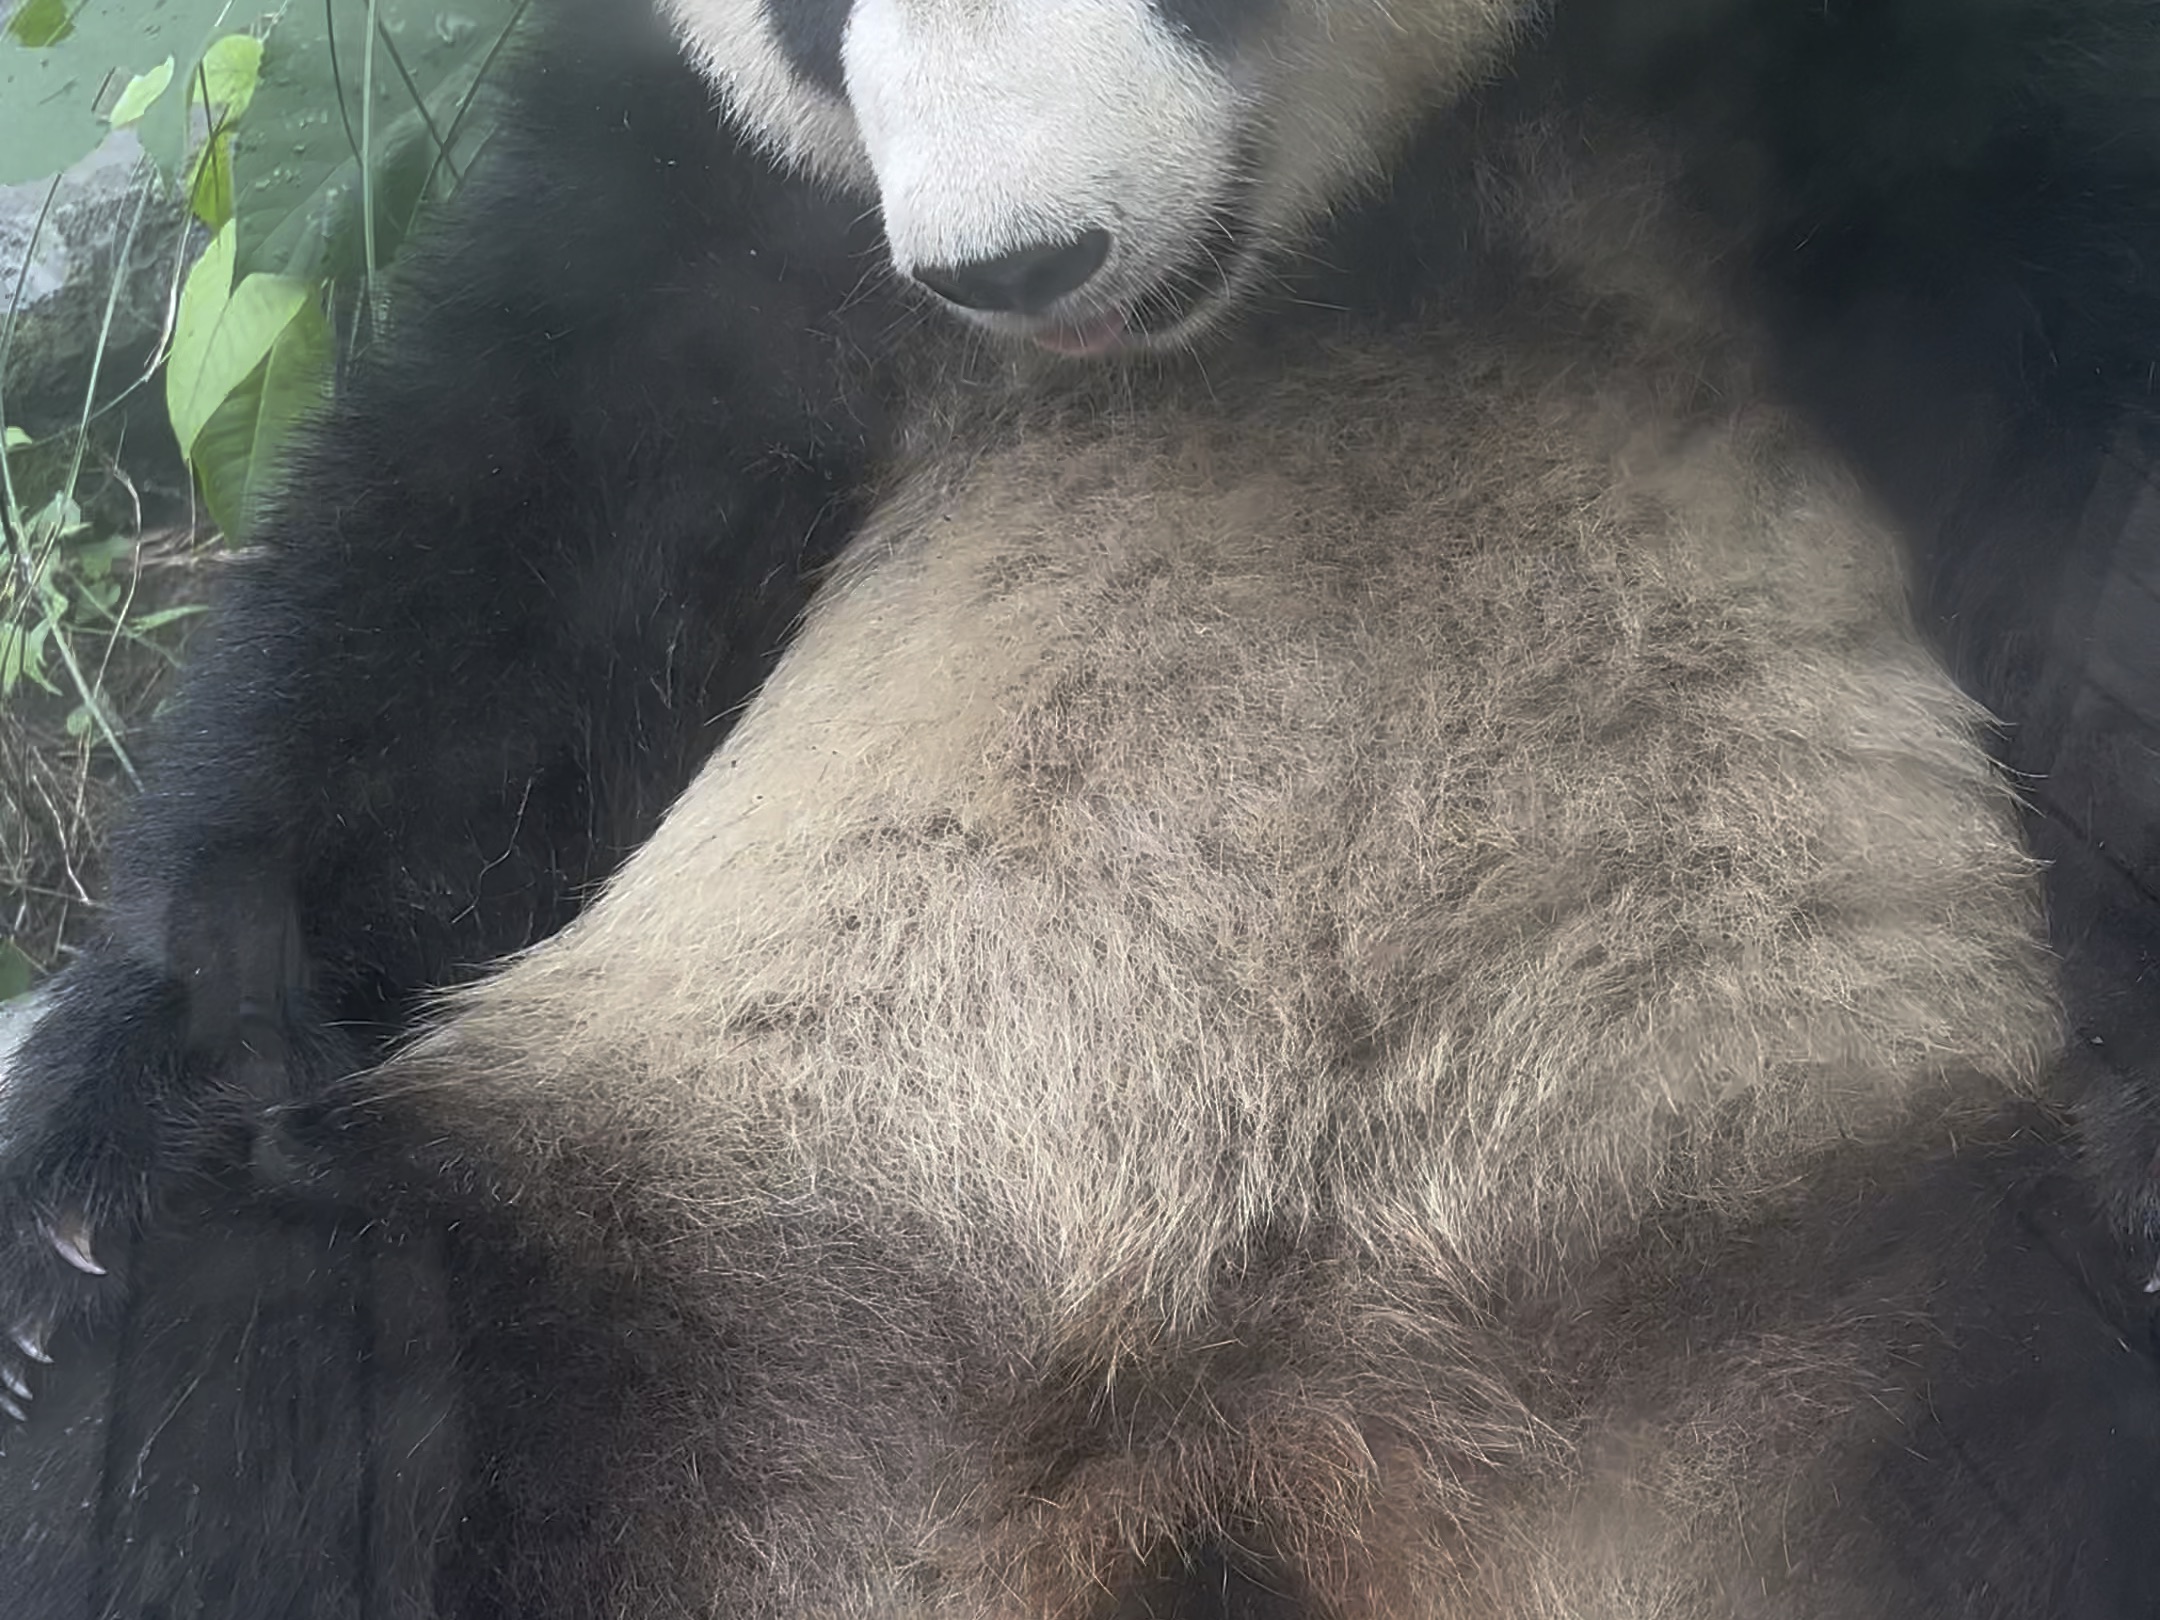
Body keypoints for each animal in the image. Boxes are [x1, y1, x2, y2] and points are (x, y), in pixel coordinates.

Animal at [4, 0, 2160, 1615]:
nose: (1013, 263)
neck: (1300, 241)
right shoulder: (713, 189)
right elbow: (478, 566)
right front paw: (107, 1115)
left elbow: (2089, 498)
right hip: (689, 1233)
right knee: (235, 1354)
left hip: (1817, 1273)